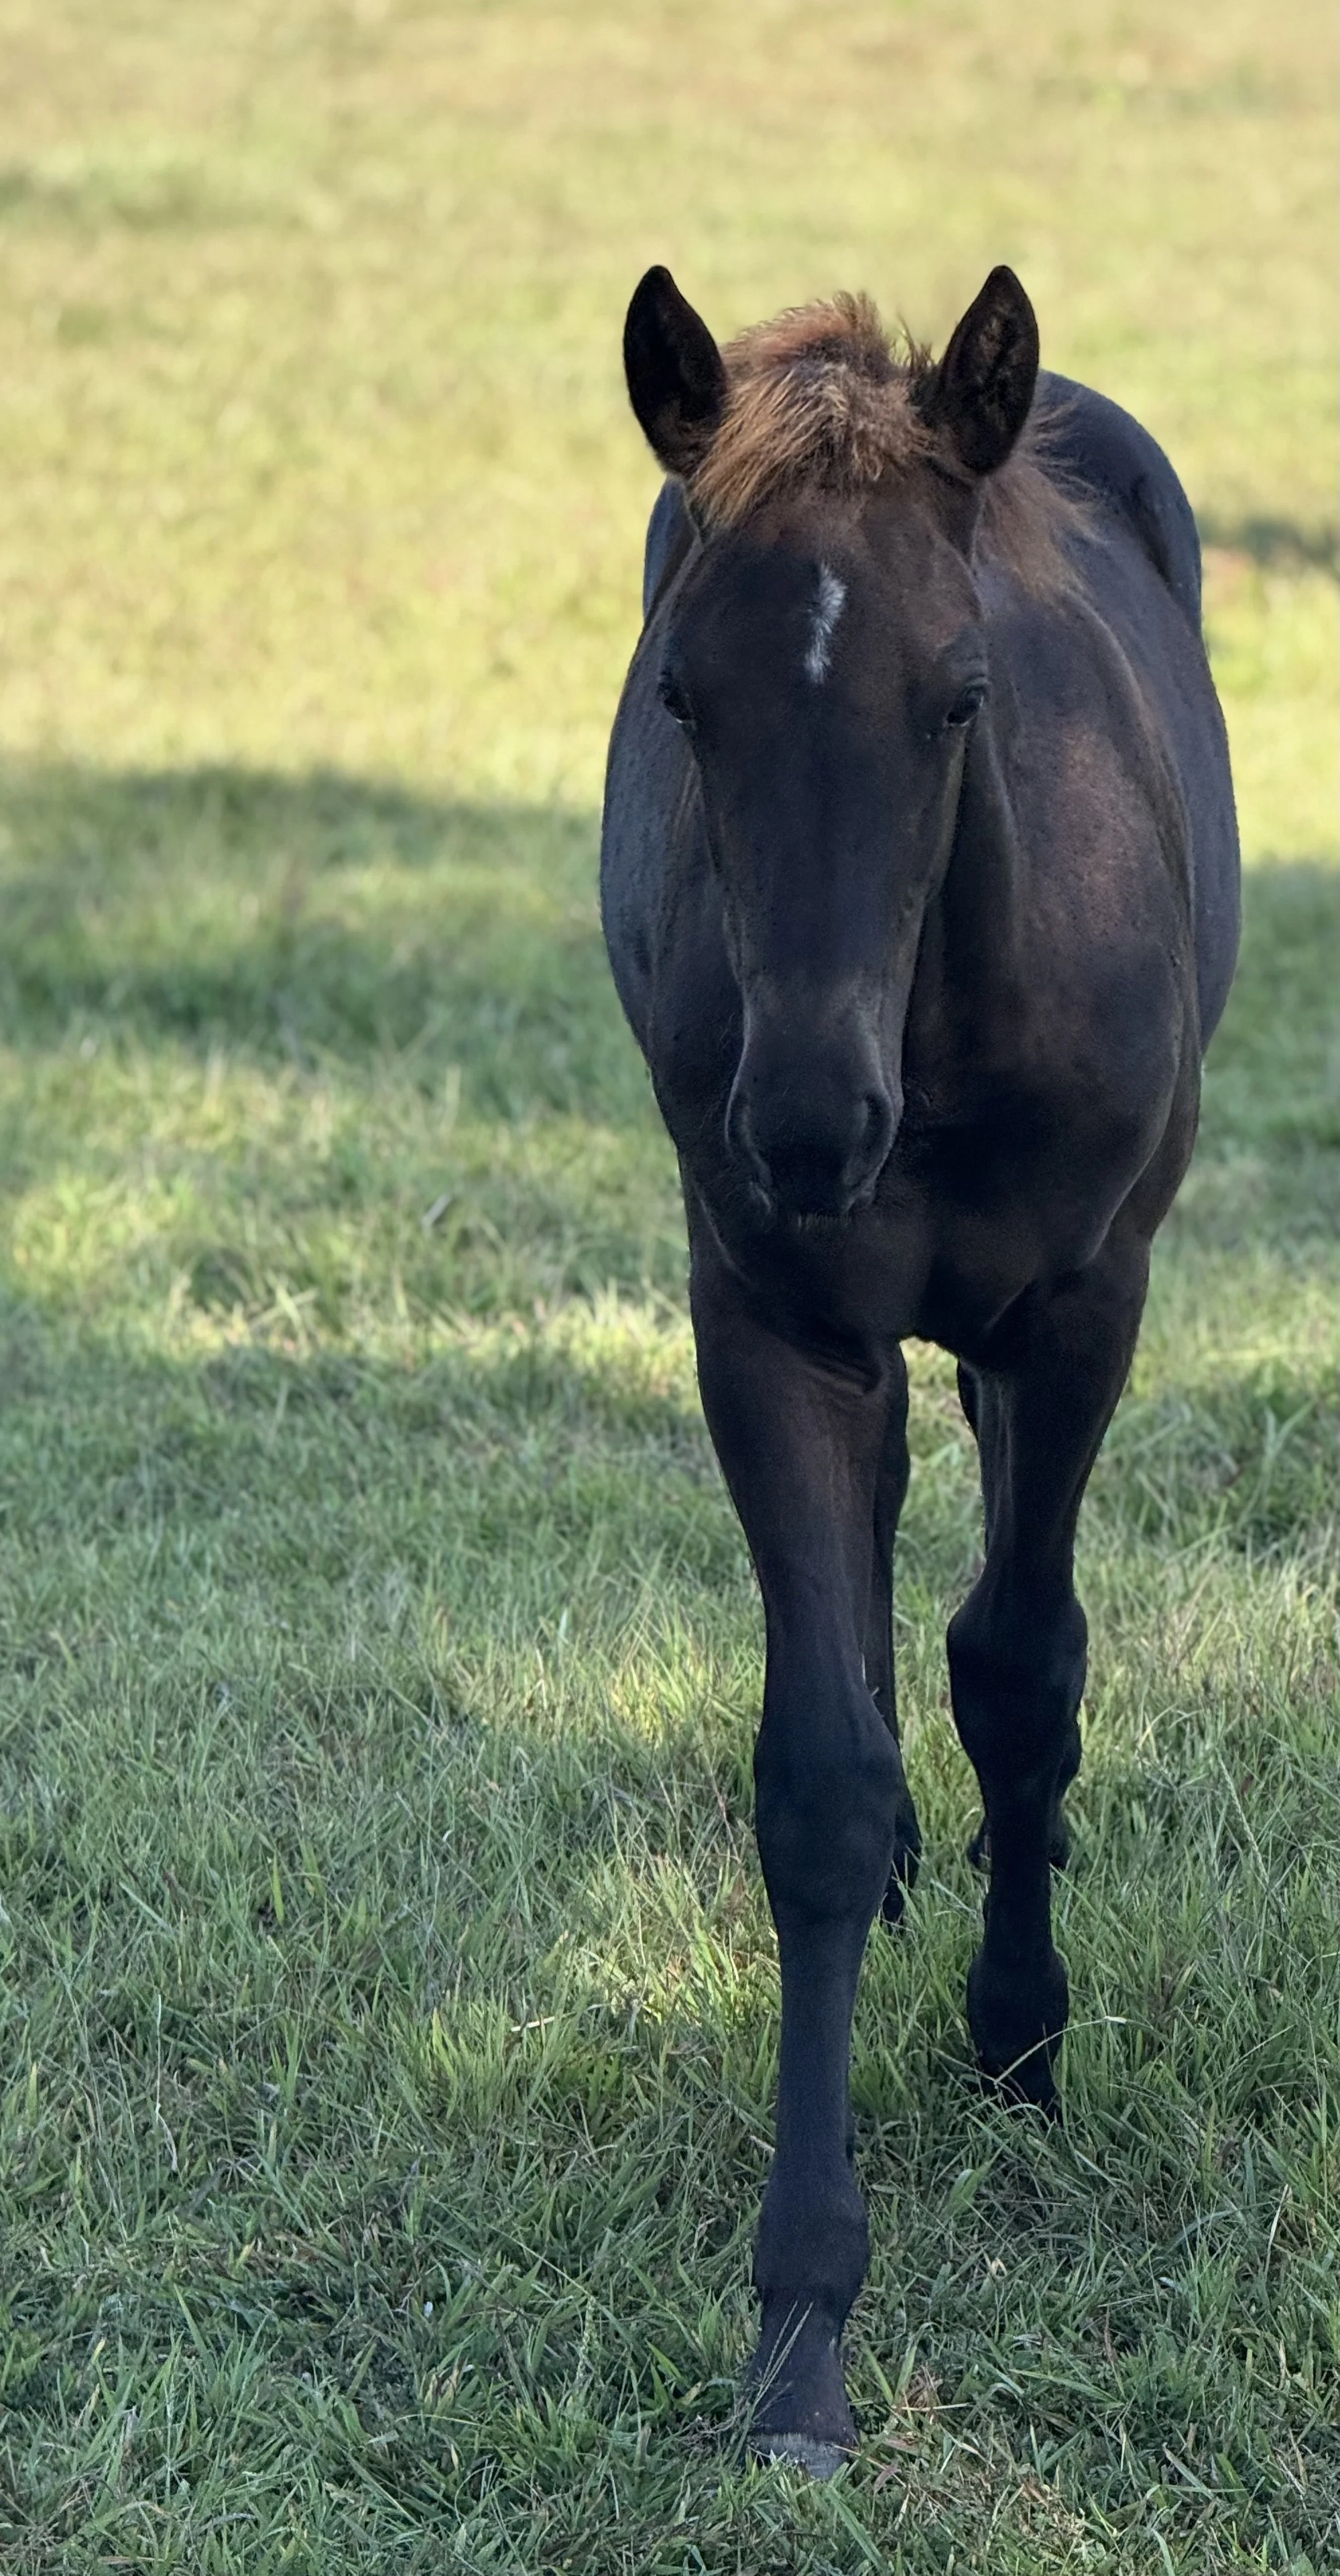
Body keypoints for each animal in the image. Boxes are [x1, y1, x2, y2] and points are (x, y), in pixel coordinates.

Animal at [600, 263, 1239, 2474]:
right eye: (684, 700)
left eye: (959, 695)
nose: (806, 1124)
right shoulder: (768, 1314)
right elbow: (817, 1764)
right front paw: (800, 2325)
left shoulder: (1079, 1308)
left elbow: (1022, 1672)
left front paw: (1019, 2034)